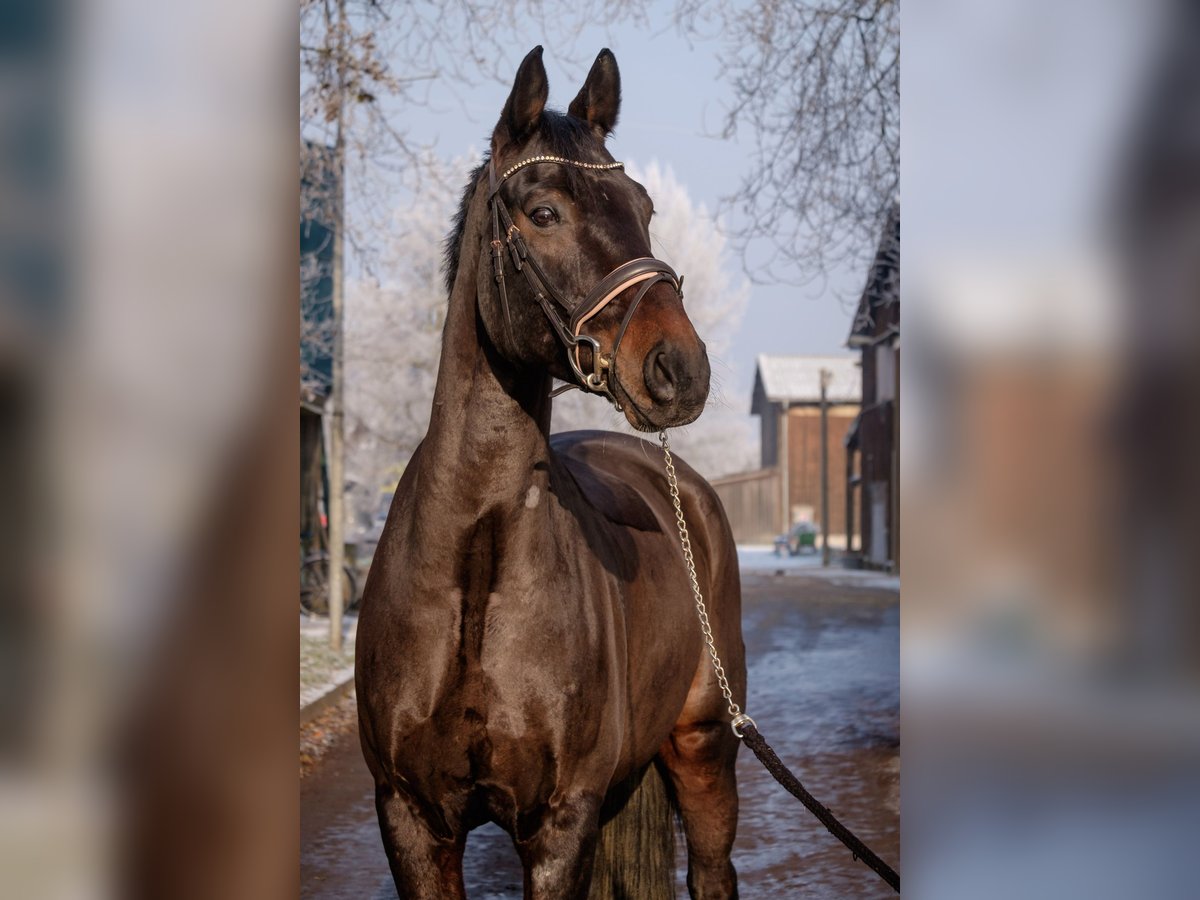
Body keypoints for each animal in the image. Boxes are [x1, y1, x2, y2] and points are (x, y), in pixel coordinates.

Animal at [355, 45, 744, 897]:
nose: (680, 369)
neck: (474, 572)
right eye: (542, 213)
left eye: (643, 206)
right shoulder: (410, 820)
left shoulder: (561, 824)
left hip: (704, 746)